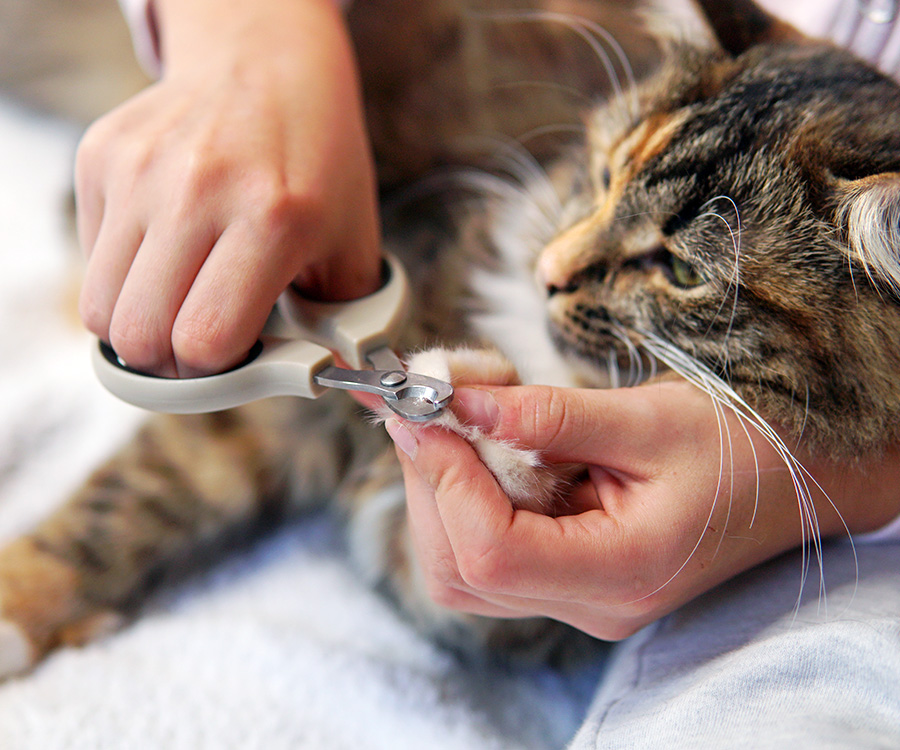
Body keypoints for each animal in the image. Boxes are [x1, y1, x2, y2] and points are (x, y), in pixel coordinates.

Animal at [1, 0, 900, 680]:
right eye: (606, 175)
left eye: (681, 270)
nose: (549, 272)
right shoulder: (260, 408)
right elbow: (127, 502)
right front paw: (18, 608)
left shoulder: (453, 583)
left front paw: (485, 420)